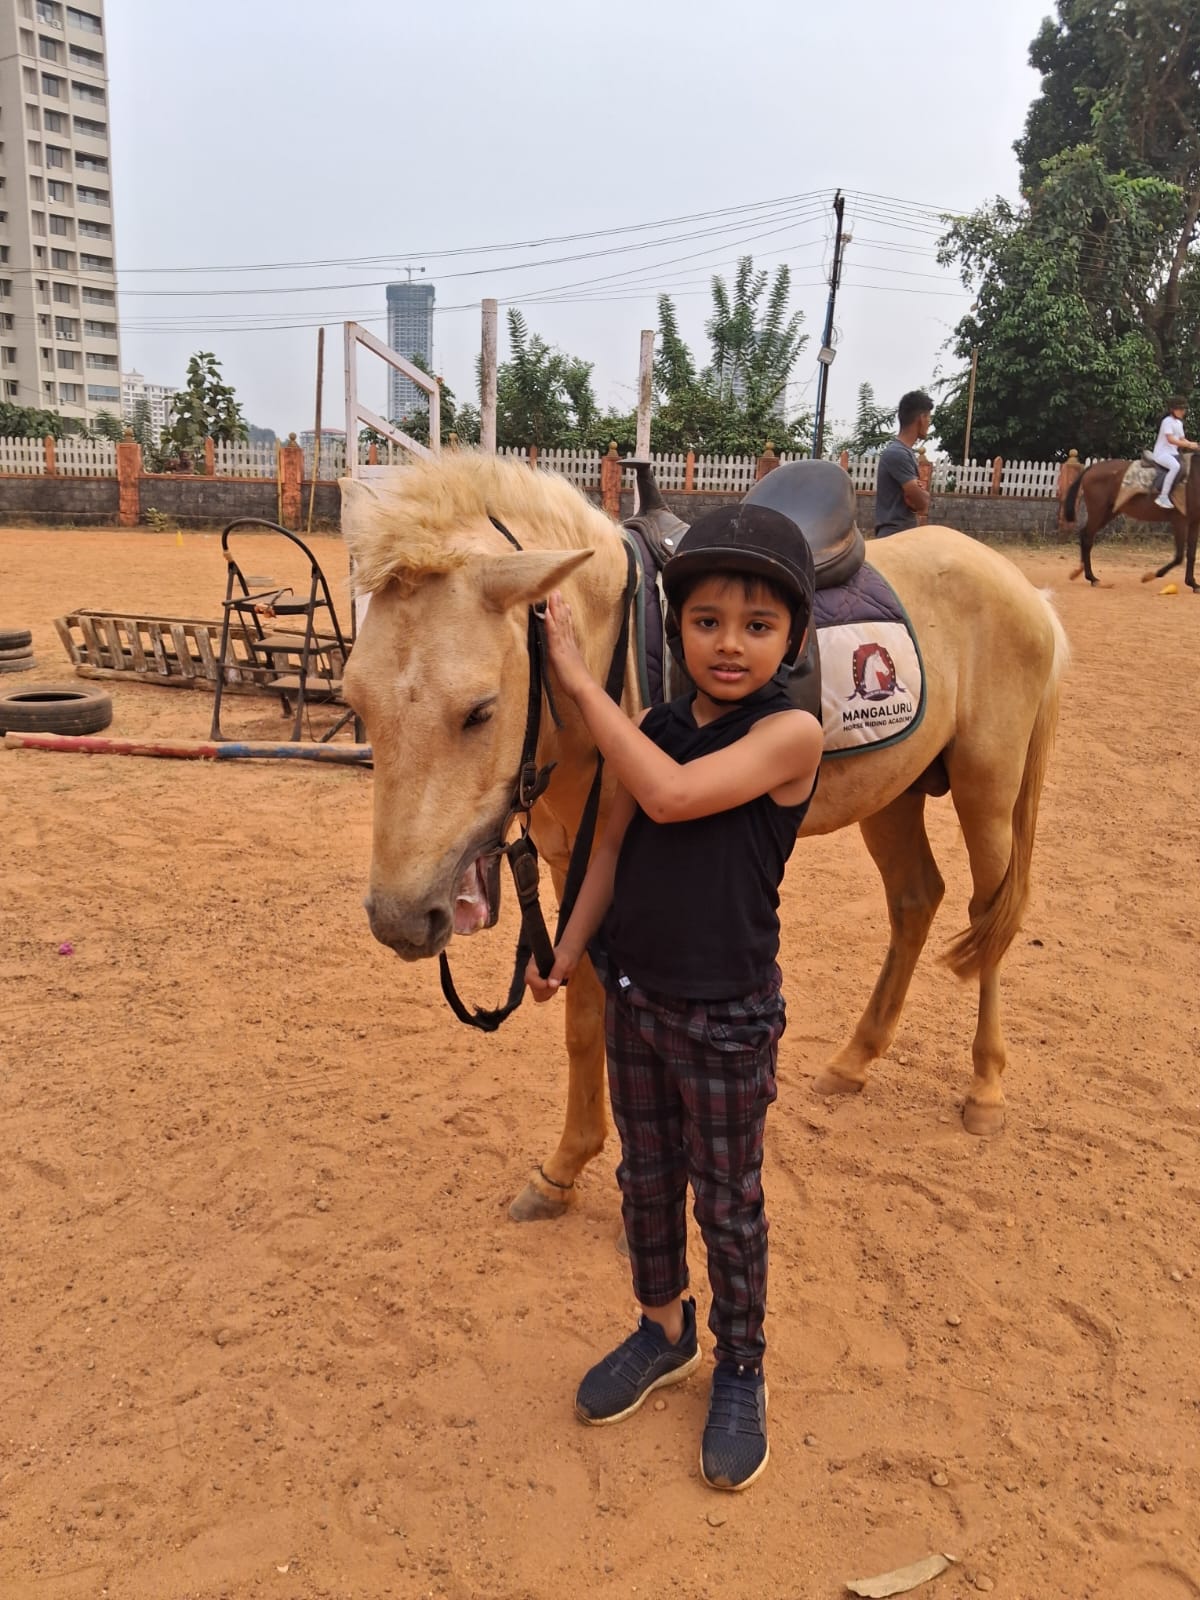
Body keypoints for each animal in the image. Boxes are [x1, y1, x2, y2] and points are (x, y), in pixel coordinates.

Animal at [341, 452, 1068, 1223]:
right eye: (355, 704)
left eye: (479, 711)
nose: (399, 919)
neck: (615, 653)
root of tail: (1026, 591)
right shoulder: (576, 862)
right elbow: (582, 1023)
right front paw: (561, 1172)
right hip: (894, 792)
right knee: (915, 901)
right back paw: (853, 1061)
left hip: (987, 787)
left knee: (990, 920)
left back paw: (985, 1089)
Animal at [1064, 457, 1200, 589]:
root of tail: (1092, 468)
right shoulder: (1180, 521)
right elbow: (1179, 556)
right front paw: (1149, 576)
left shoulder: (1194, 523)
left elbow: (1191, 554)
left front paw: (1193, 583)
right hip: (1098, 511)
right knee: (1087, 537)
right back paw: (1091, 578)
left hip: (1108, 513)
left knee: (1085, 535)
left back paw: (1081, 572)